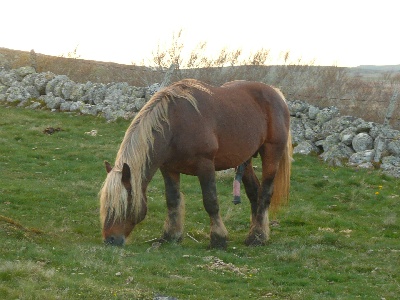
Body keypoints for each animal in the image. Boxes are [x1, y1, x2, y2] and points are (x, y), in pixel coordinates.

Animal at [98, 78, 292, 250]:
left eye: (123, 205)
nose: (110, 240)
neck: (175, 124)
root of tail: (276, 94)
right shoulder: (169, 169)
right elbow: (172, 200)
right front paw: (171, 235)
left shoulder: (205, 165)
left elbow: (211, 201)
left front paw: (218, 239)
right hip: (245, 158)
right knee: (254, 192)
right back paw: (256, 231)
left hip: (271, 154)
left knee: (265, 193)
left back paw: (258, 237)